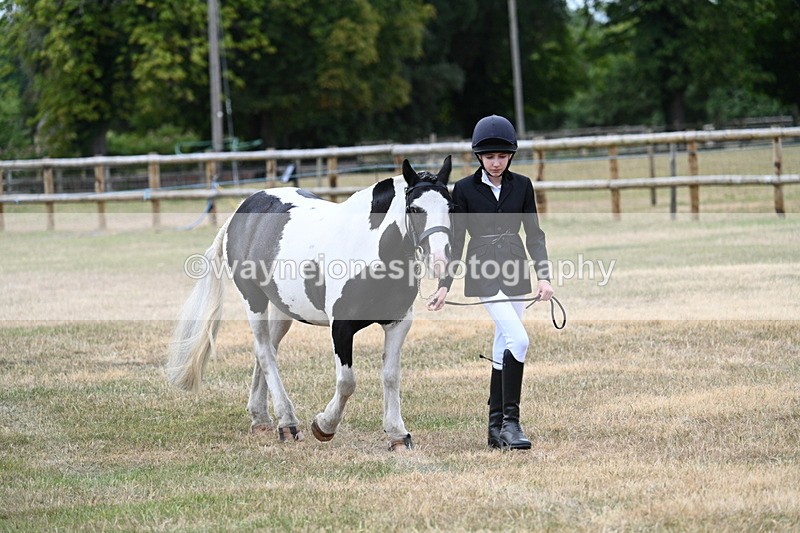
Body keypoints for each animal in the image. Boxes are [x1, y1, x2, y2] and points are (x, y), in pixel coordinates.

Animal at [167, 156, 453, 451]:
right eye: (414, 209)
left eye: (451, 207)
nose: (440, 259)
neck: (369, 248)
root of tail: (241, 212)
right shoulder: (341, 327)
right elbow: (347, 382)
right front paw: (324, 426)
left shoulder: (398, 323)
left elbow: (391, 376)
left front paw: (397, 434)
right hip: (253, 300)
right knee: (265, 353)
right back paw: (287, 422)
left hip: (282, 309)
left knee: (265, 350)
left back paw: (261, 418)